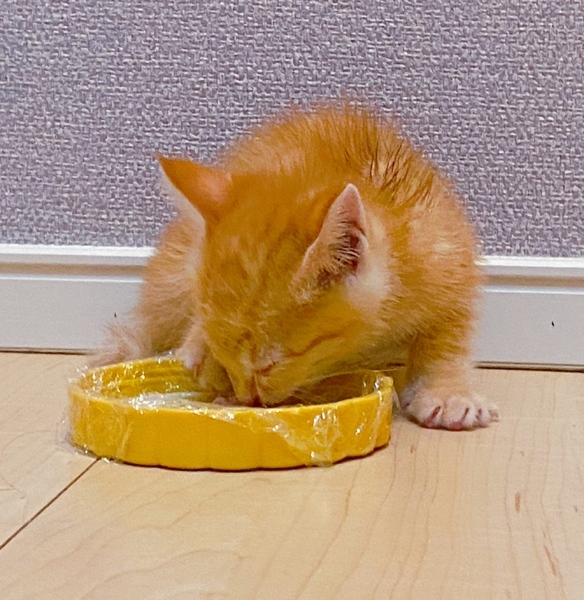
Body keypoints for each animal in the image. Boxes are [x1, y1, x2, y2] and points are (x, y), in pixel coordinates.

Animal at [96, 106, 498, 430]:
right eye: (230, 365)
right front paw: (205, 354)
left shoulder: (446, 248)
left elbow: (449, 330)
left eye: (270, 365)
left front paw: (448, 393)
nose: (249, 400)